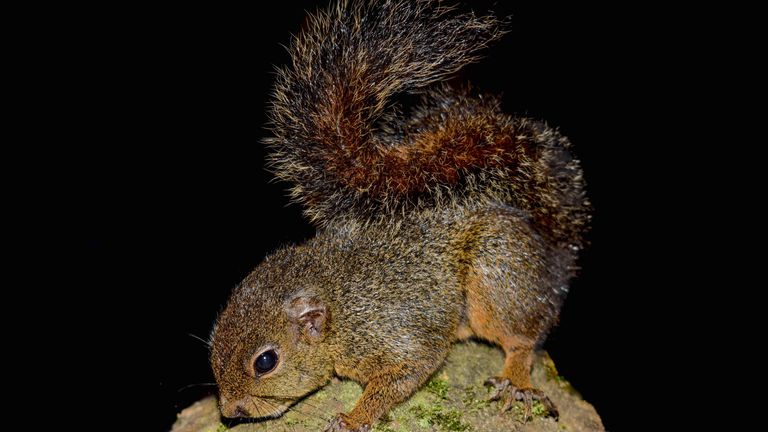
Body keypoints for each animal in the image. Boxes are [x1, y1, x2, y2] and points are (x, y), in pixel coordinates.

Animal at [213, 1, 592, 430]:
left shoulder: (394, 334)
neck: (337, 305)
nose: (230, 411)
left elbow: (404, 374)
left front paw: (354, 417)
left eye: (265, 362)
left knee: (523, 336)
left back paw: (516, 380)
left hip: (498, 268)